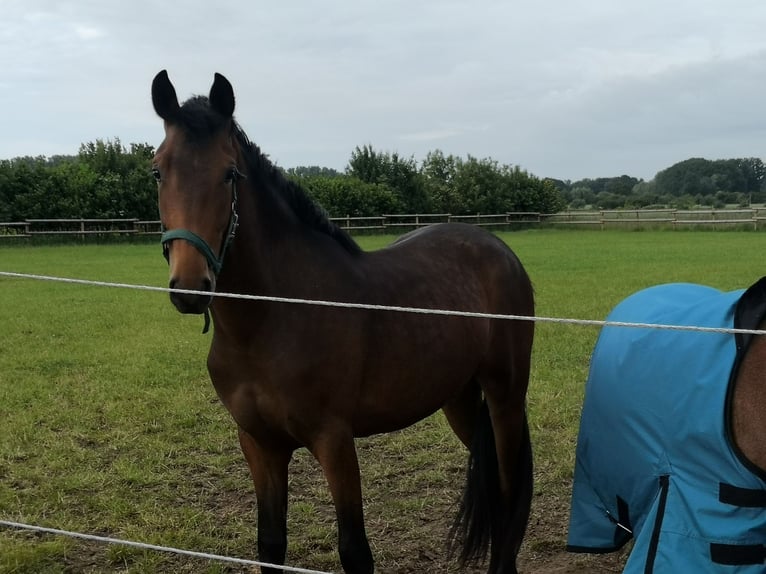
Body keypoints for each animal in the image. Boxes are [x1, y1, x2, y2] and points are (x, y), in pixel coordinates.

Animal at [150, 70, 535, 574]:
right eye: (158, 170)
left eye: (229, 173)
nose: (191, 287)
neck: (271, 318)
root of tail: (499, 249)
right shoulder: (259, 443)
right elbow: (270, 544)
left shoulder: (334, 440)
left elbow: (355, 551)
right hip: (460, 399)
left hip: (506, 396)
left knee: (509, 493)